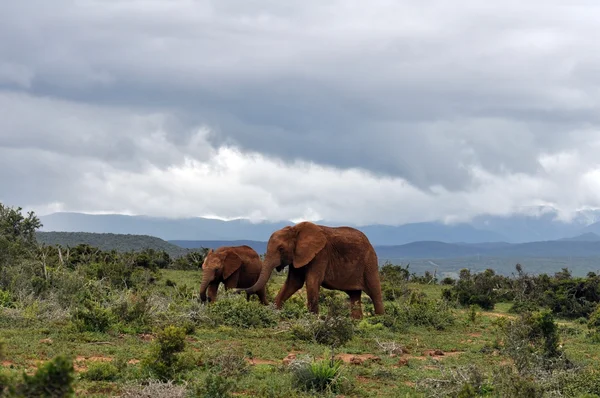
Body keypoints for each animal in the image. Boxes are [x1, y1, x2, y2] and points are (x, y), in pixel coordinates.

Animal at [238, 221, 384, 320]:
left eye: (281, 249)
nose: (243, 294)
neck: (296, 230)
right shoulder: (298, 256)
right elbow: (294, 283)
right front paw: (275, 311)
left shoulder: (321, 254)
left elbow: (312, 281)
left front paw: (313, 319)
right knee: (354, 295)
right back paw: (357, 322)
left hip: (370, 261)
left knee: (375, 292)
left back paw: (381, 321)